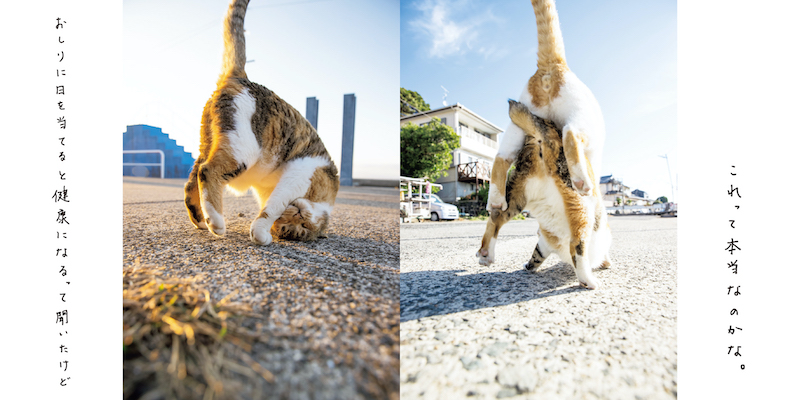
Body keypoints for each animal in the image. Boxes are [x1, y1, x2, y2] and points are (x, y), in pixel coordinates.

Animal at [184, 0, 338, 244]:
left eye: (299, 228)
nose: (298, 214)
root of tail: (241, 76)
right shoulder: (299, 175)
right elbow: (271, 208)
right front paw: (260, 235)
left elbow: (270, 206)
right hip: (244, 149)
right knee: (207, 171)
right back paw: (216, 222)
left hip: (210, 141)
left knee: (192, 178)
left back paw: (200, 220)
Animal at [476, 99, 612, 288]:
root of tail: (550, 137)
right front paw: (603, 264)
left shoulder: (544, 244)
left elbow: (536, 256)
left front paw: (528, 266)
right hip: (581, 205)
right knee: (577, 246)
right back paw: (588, 281)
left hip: (518, 194)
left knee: (496, 217)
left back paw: (486, 253)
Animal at [488, 0, 608, 212]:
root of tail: (555, 64)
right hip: (583, 119)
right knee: (570, 133)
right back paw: (581, 181)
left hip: (519, 124)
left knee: (501, 158)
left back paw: (495, 201)